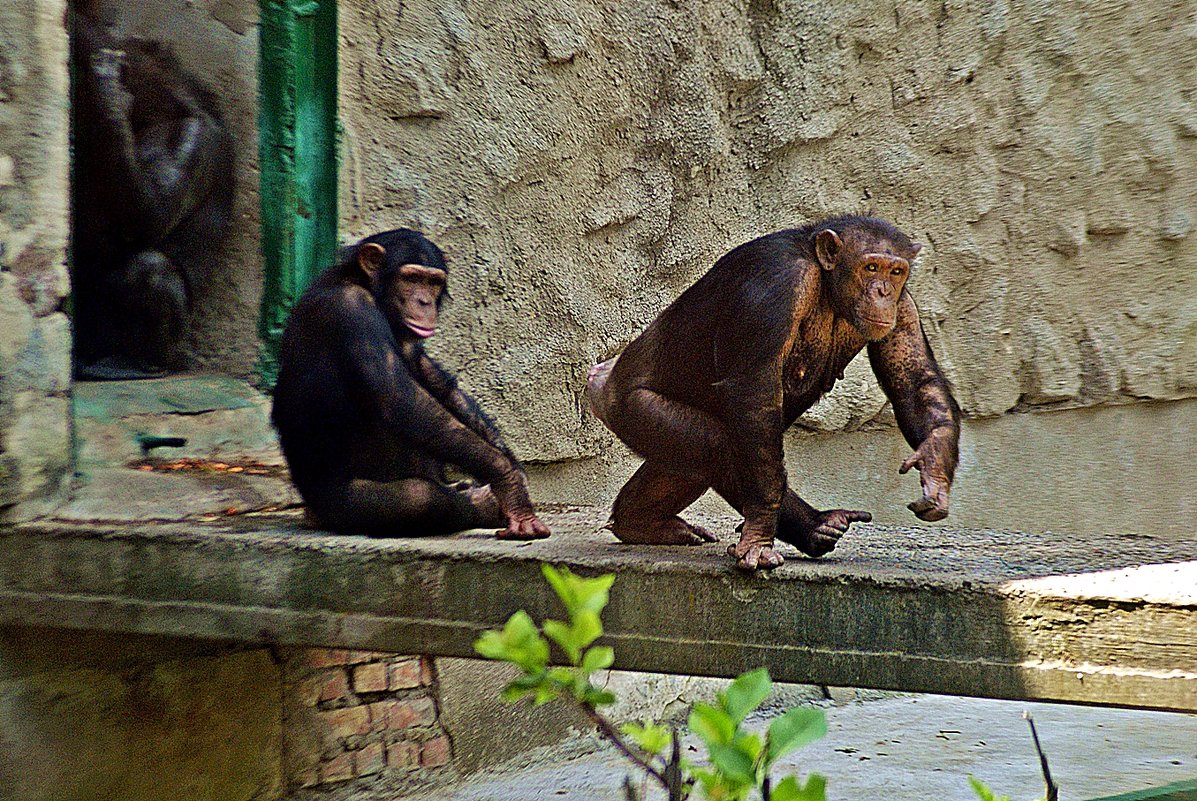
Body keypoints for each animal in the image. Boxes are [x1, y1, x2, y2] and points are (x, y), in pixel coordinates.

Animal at [71, 5, 234, 378]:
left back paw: (138, 364)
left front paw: (110, 97)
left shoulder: (192, 139)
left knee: (149, 269)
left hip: (169, 343)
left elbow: (150, 216)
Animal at [272, 227, 550, 541]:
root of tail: (310, 512)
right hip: (339, 506)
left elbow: (429, 373)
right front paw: (509, 483)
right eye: (411, 278)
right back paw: (481, 502)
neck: (368, 288)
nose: (424, 302)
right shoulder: (352, 310)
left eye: (432, 282)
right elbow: (400, 400)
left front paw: (514, 468)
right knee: (420, 498)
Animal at [588, 214, 962, 567]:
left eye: (896, 271)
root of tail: (601, 379)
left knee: (685, 464)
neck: (827, 285)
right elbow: (753, 390)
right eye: (871, 267)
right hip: (632, 407)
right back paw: (811, 526)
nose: (883, 290)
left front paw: (934, 464)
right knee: (719, 446)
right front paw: (758, 538)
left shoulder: (904, 305)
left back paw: (640, 521)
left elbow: (914, 379)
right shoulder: (777, 281)